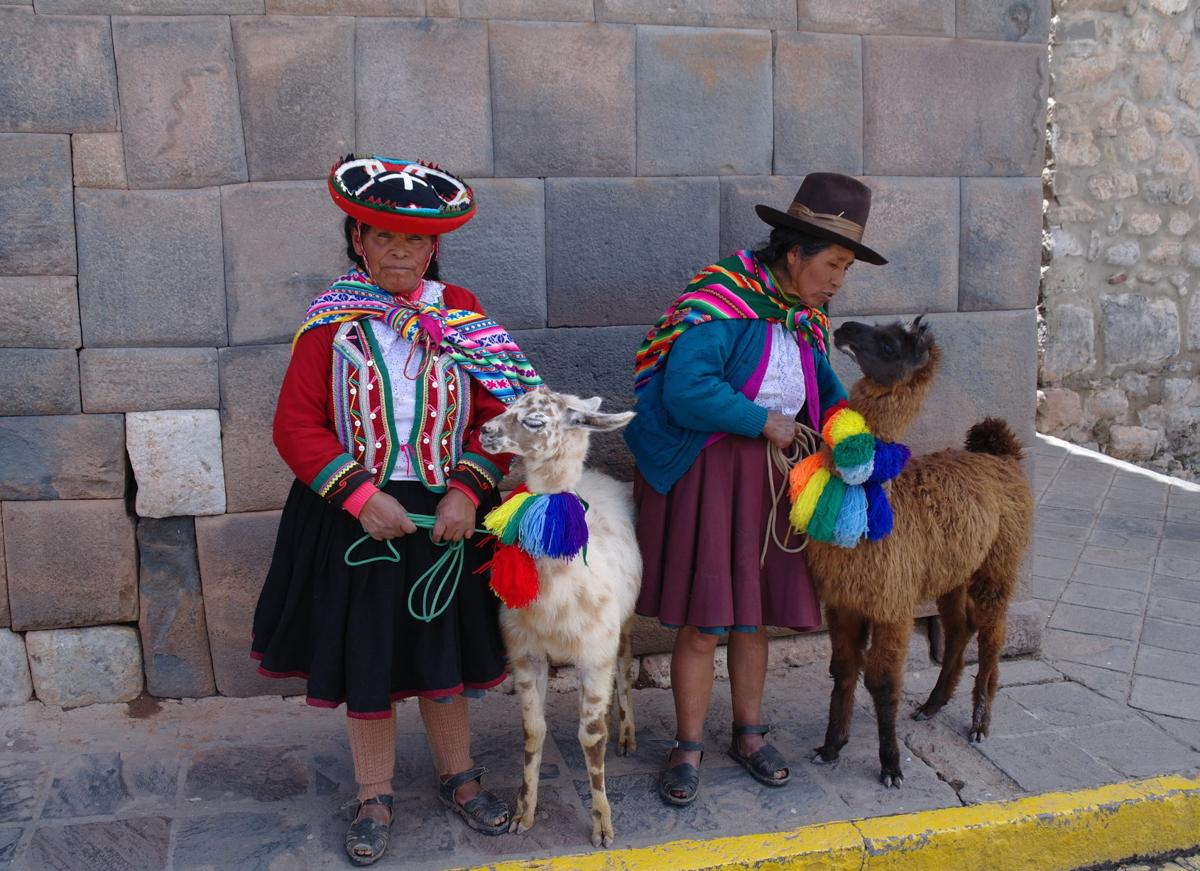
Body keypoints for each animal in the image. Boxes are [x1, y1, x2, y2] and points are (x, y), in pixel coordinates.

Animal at [480, 390, 640, 848]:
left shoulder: (596, 650)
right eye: (510, 402)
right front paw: (522, 814)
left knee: (625, 667)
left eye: (534, 420)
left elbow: (591, 738)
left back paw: (627, 734)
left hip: (623, 622)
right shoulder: (525, 651)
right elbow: (534, 731)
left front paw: (603, 826)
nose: (485, 431)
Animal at [806, 319, 1033, 787]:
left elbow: (882, 682)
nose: (845, 326)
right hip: (954, 569)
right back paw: (932, 704)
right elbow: (843, 669)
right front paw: (830, 747)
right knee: (960, 628)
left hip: (999, 563)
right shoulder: (843, 600)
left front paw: (891, 766)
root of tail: (1002, 455)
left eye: (889, 343)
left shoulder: (892, 602)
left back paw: (980, 723)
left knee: (992, 635)